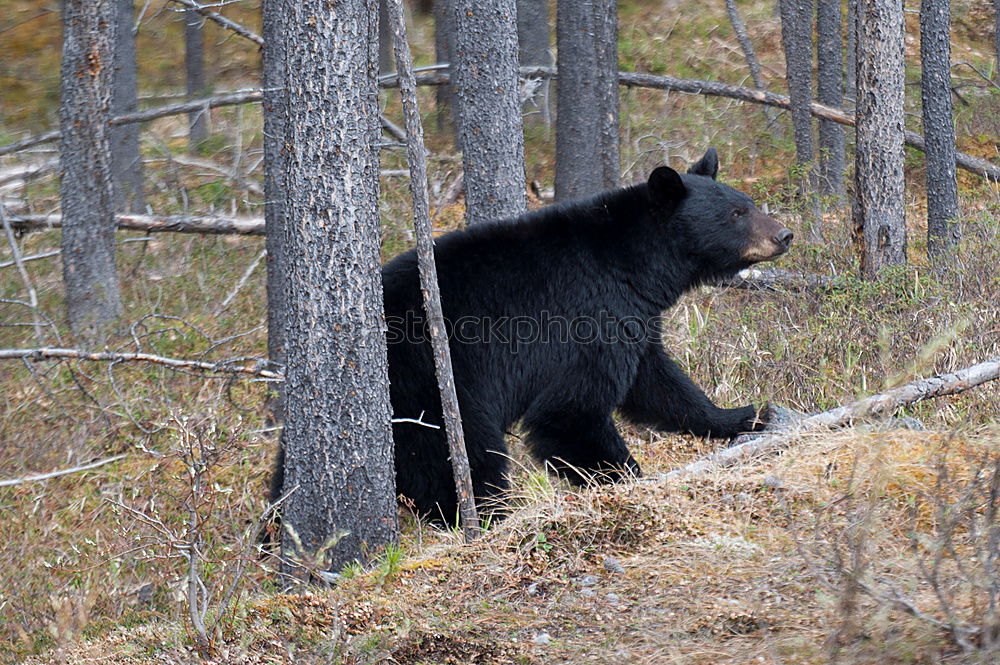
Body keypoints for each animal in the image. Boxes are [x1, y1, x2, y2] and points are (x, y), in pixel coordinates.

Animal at [270, 150, 792, 524]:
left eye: (746, 202)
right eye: (737, 213)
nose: (784, 234)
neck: (632, 266)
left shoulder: (631, 320)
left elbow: (661, 384)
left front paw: (744, 414)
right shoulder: (584, 319)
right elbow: (569, 413)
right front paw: (626, 480)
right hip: (431, 390)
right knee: (458, 460)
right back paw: (489, 518)